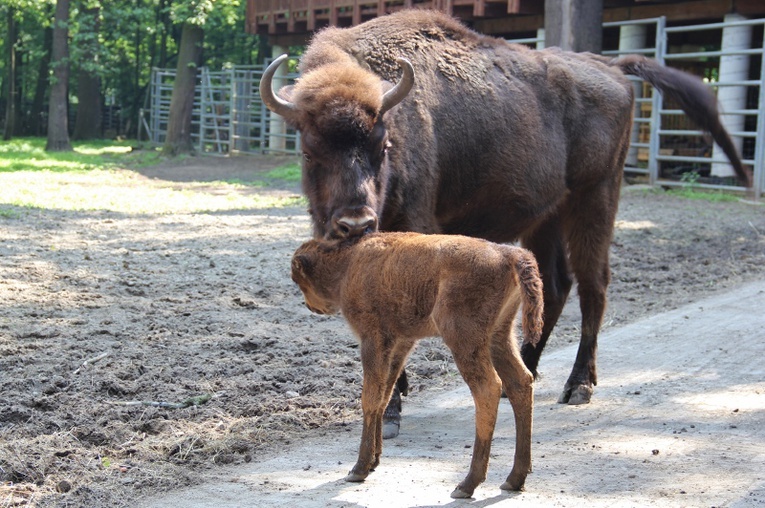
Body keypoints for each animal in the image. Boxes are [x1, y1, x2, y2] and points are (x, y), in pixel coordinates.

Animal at [260, 7, 748, 436]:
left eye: (384, 146)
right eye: (308, 151)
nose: (356, 224)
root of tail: (608, 65)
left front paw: (391, 411)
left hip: (595, 197)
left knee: (593, 284)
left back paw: (578, 386)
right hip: (546, 216)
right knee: (554, 284)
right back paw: (523, 375)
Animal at [290, 233, 544, 496]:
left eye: (298, 279)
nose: (310, 305)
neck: (348, 263)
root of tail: (510, 254)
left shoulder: (372, 339)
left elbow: (370, 399)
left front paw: (359, 469)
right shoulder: (400, 342)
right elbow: (384, 396)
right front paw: (374, 460)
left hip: (464, 341)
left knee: (488, 389)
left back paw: (467, 484)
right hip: (499, 336)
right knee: (520, 382)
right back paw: (514, 479)